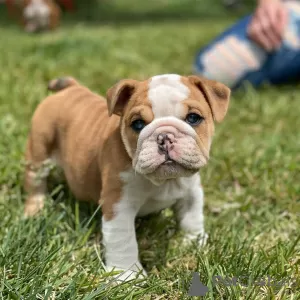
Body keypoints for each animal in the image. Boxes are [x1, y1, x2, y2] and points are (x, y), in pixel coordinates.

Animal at [24, 75, 230, 282]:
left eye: (193, 118)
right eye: (138, 124)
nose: (164, 137)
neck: (164, 181)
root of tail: (69, 88)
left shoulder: (191, 191)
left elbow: (192, 218)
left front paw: (194, 243)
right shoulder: (118, 205)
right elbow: (123, 241)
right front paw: (127, 276)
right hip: (39, 152)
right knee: (35, 181)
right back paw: (35, 209)